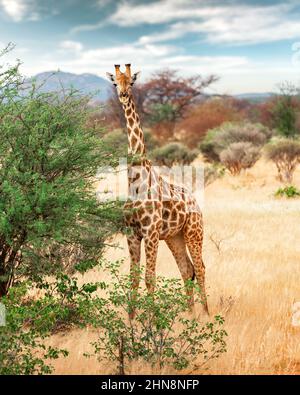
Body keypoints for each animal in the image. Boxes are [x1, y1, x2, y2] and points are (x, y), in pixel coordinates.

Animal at [106, 65, 209, 318]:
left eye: (131, 82)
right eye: (115, 83)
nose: (123, 95)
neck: (136, 181)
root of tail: (195, 202)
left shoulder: (150, 232)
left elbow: (149, 278)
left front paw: (151, 320)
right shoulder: (132, 233)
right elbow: (133, 278)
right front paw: (131, 320)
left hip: (194, 232)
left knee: (200, 268)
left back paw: (206, 313)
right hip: (174, 237)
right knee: (187, 269)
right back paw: (191, 314)